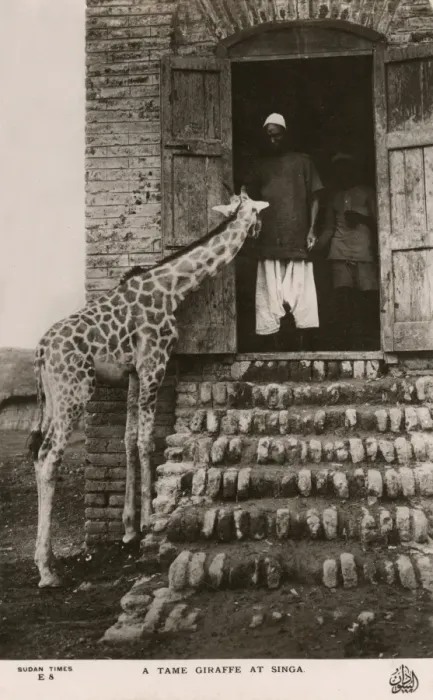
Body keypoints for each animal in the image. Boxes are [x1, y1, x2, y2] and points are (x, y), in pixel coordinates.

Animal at [28, 187, 269, 587]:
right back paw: (48, 570)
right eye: (255, 211)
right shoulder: (155, 363)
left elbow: (128, 439)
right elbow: (145, 441)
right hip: (74, 392)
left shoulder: (133, 372)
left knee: (38, 455)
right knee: (49, 457)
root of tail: (41, 351)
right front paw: (146, 524)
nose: (259, 232)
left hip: (51, 399)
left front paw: (128, 528)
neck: (172, 288)